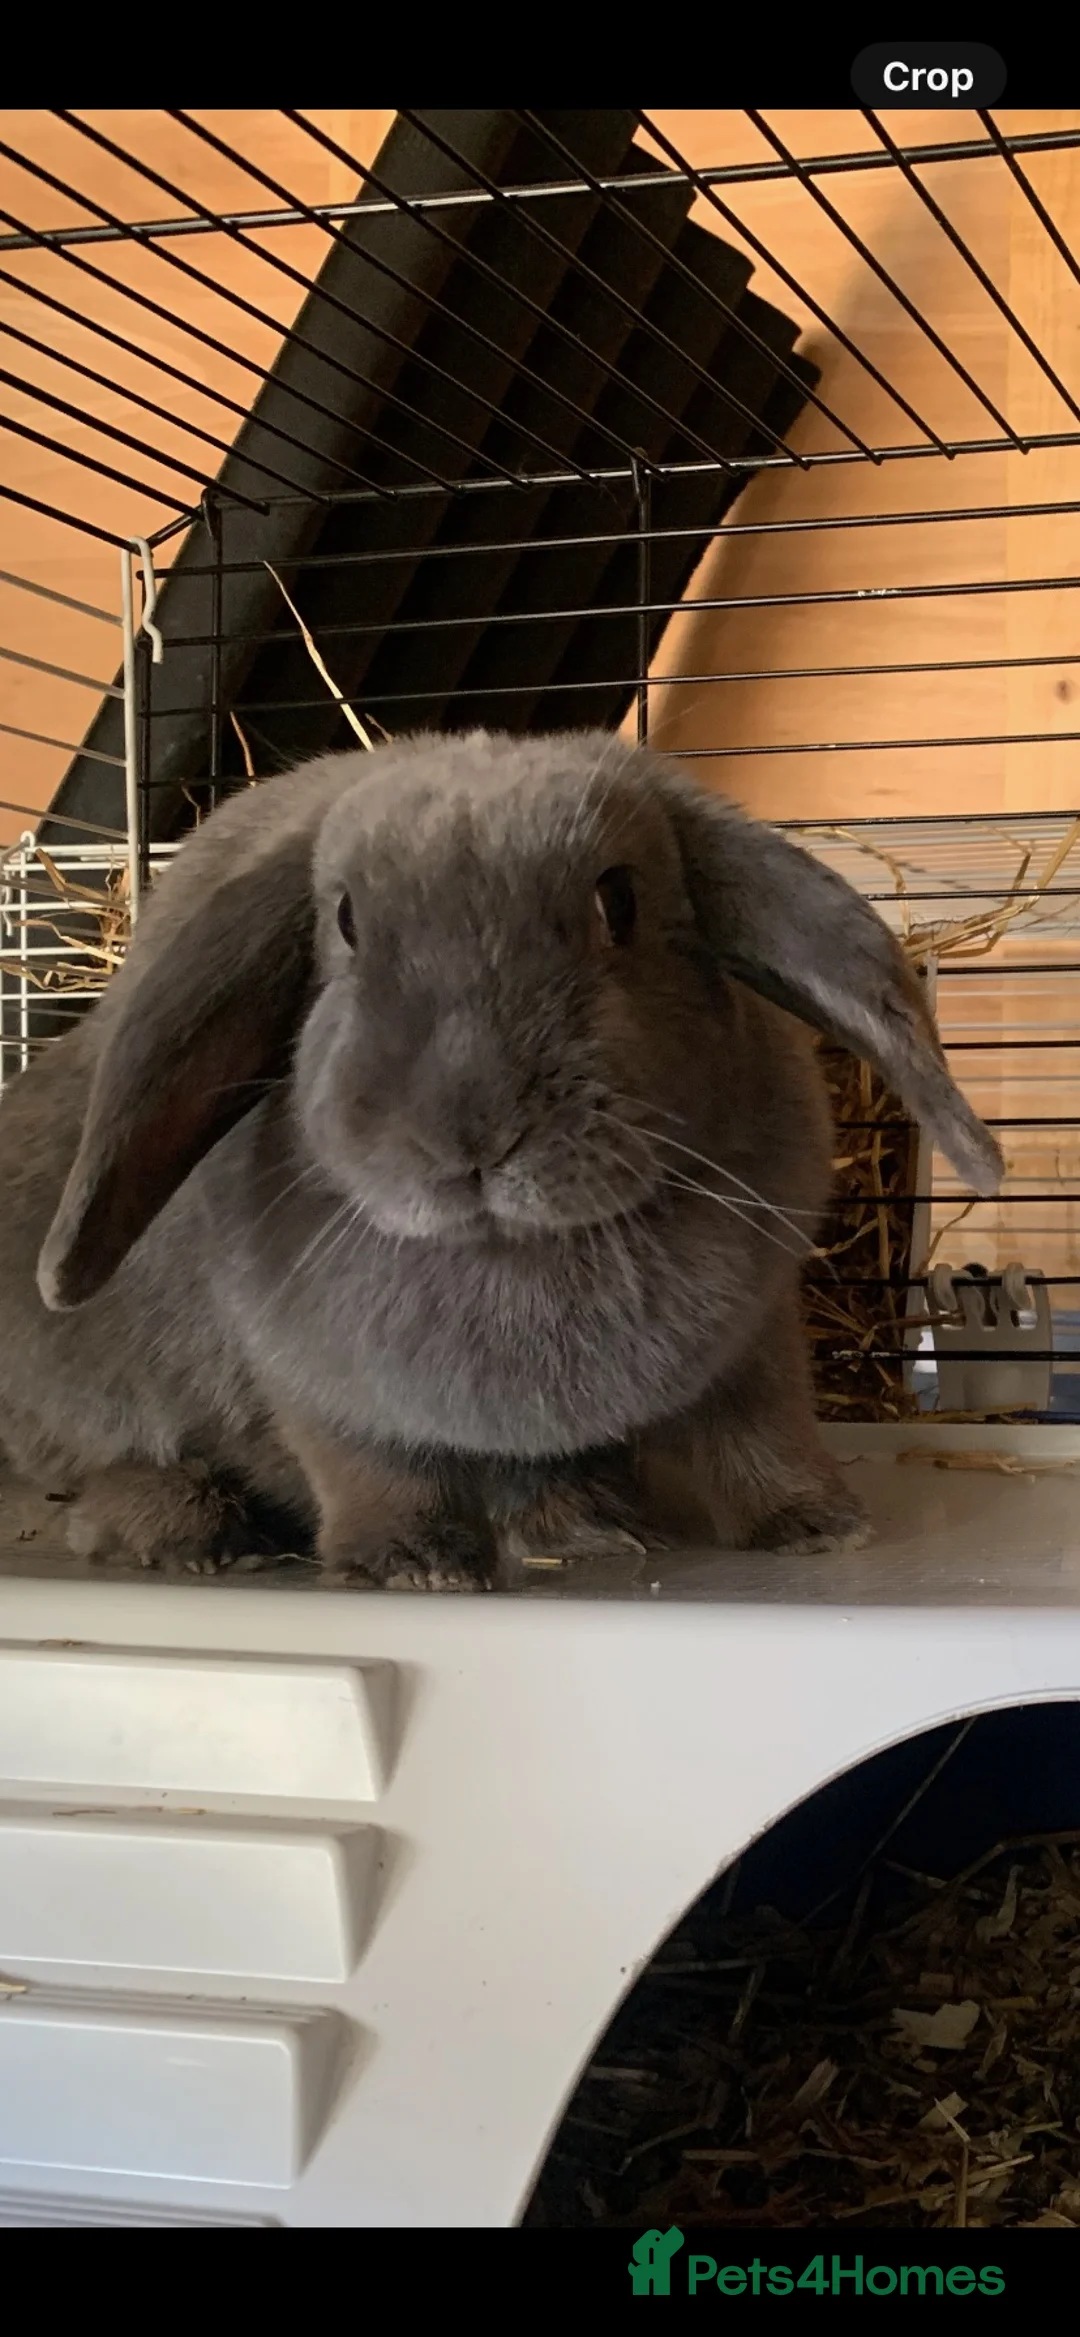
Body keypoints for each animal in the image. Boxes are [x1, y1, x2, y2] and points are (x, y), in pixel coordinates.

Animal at [1, 728, 1001, 1589]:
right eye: (346, 921)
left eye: (617, 900)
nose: (473, 1131)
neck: (512, 1254)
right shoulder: (321, 1389)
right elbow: (371, 1470)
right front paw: (414, 1564)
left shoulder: (754, 1338)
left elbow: (763, 1433)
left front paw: (820, 1526)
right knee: (101, 1484)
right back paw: (196, 1532)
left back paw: (586, 1524)